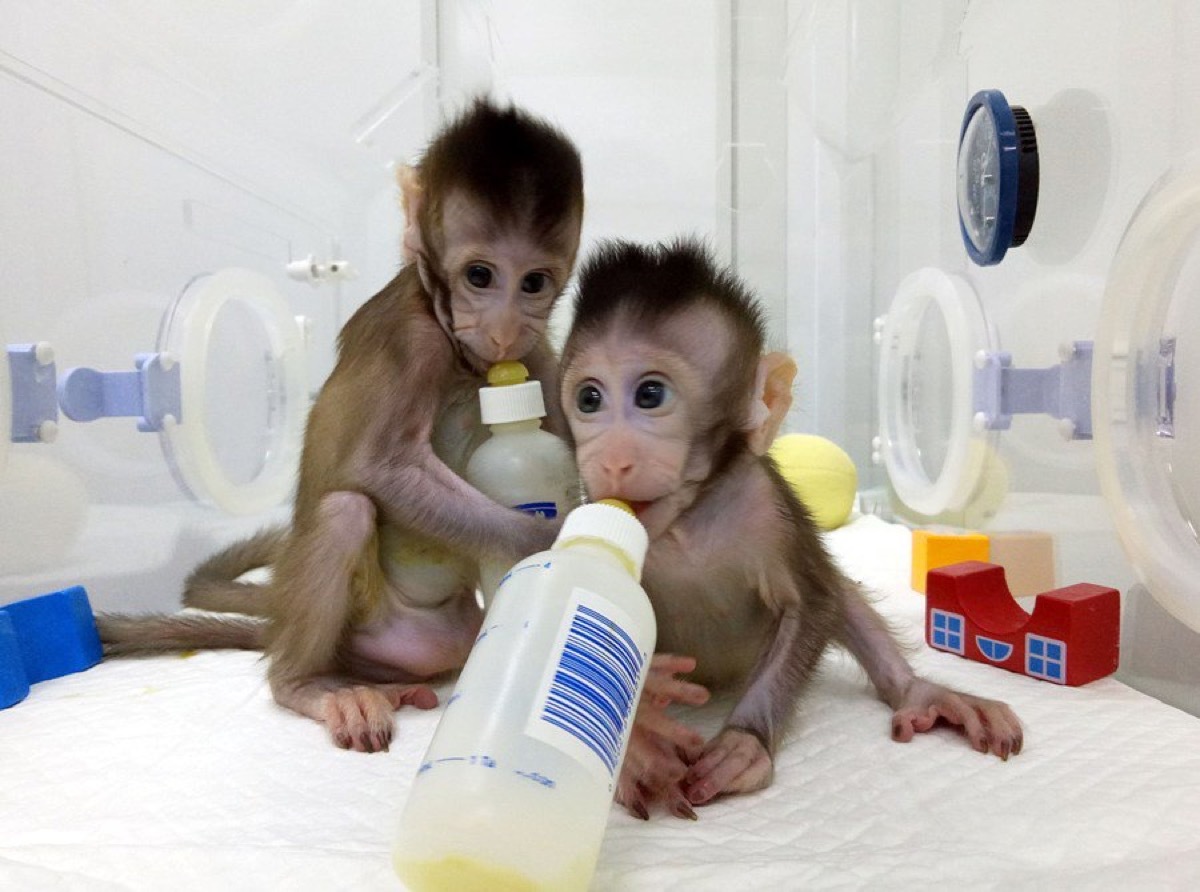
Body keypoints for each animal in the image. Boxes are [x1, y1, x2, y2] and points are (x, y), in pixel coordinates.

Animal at [99, 98, 586, 754]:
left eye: (533, 282)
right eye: (480, 276)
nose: (505, 330)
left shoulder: (538, 352)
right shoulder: (412, 339)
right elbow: (376, 467)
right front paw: (546, 540)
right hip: (361, 622)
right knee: (343, 512)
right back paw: (306, 684)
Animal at [557, 238, 1024, 820]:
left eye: (650, 395)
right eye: (589, 399)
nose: (611, 461)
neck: (690, 519)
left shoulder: (769, 512)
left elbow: (811, 605)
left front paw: (744, 746)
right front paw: (639, 748)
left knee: (839, 593)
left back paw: (920, 692)